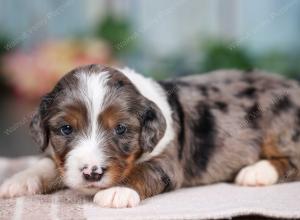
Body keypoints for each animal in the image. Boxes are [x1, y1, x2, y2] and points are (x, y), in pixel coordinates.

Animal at [0, 65, 300, 208]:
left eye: (121, 129)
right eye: (65, 129)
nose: (92, 173)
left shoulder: (168, 162)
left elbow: (143, 171)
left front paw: (118, 192)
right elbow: (47, 164)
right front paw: (18, 181)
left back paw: (256, 172)